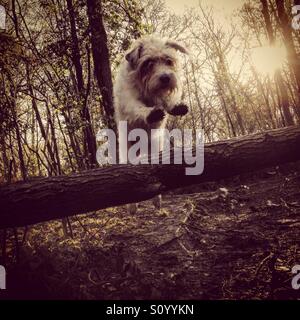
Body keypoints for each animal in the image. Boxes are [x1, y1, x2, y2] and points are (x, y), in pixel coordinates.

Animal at [113, 35, 189, 212]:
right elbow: (138, 107)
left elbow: (166, 104)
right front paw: (151, 113)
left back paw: (157, 200)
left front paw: (176, 107)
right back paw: (133, 206)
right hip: (128, 153)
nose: (166, 77)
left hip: (156, 149)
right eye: (148, 63)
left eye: (168, 60)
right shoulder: (129, 100)